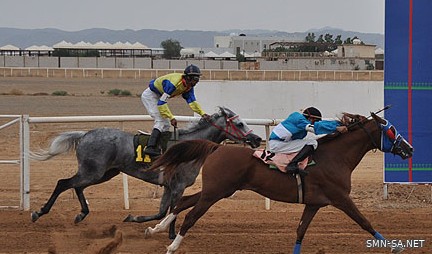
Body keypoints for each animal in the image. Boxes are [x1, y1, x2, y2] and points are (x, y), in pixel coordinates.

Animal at [30, 105, 262, 238]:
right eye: (240, 123)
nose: (257, 138)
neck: (190, 147)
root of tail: (85, 134)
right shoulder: (177, 186)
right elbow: (171, 211)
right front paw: (167, 233)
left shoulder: (168, 187)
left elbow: (163, 211)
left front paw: (141, 221)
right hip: (93, 172)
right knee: (63, 183)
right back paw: (39, 212)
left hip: (104, 173)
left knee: (77, 187)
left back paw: (81, 214)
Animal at [144, 111, 412, 254]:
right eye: (391, 130)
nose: (409, 148)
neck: (335, 157)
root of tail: (216, 147)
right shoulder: (340, 198)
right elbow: (364, 221)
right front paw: (395, 247)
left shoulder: (314, 203)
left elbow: (301, 231)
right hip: (216, 192)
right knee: (190, 215)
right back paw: (172, 246)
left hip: (219, 189)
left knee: (183, 203)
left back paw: (155, 229)